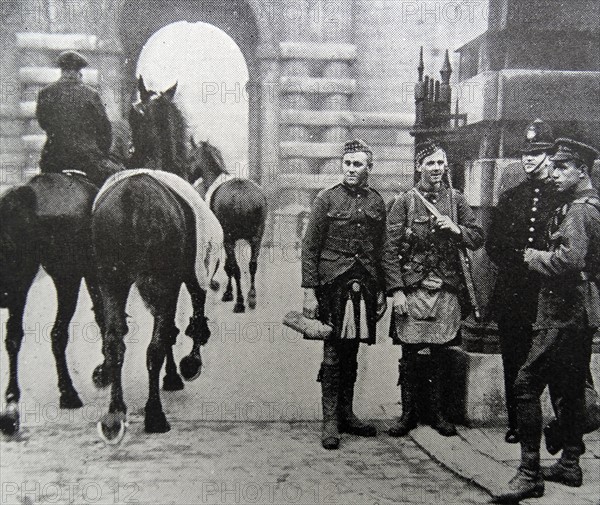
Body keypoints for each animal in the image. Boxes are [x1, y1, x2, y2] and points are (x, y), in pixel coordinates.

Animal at [89, 78, 211, 440]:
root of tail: (132, 196)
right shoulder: (180, 277)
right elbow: (182, 320)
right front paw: (183, 368)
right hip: (163, 280)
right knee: (156, 344)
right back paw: (155, 413)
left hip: (112, 280)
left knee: (115, 341)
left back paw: (115, 412)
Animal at [190, 138, 268, 312]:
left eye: (191, 156)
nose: (189, 177)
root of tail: (242, 198)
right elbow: (229, 266)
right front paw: (229, 291)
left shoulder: (224, 239)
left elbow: (227, 266)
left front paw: (227, 292)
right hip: (256, 237)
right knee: (252, 265)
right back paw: (251, 297)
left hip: (230, 239)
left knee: (236, 268)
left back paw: (240, 302)